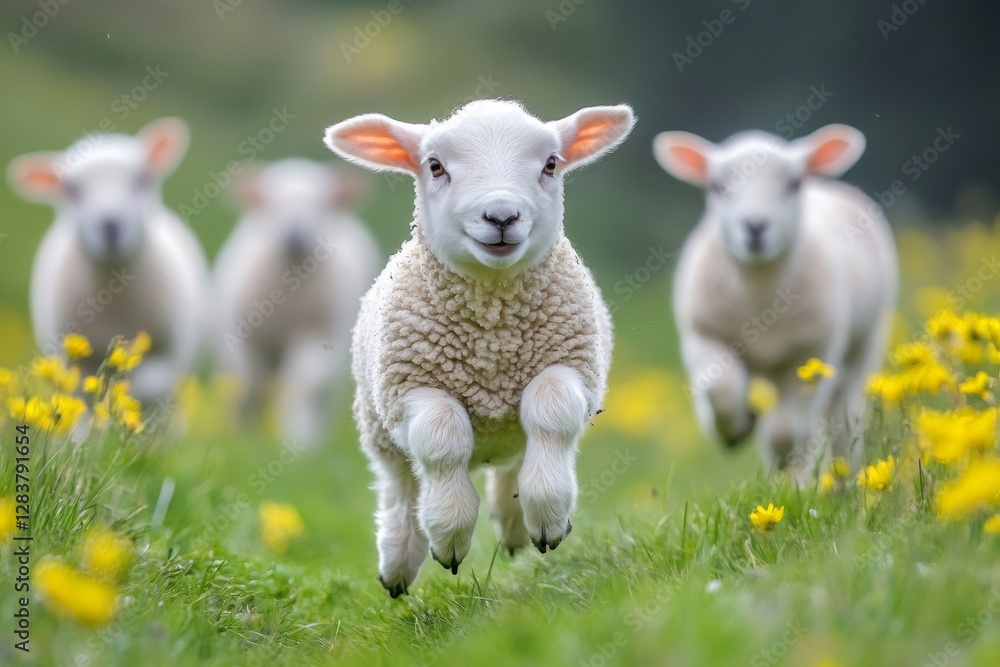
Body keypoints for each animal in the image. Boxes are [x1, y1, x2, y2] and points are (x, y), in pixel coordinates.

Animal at [8, 117, 208, 412]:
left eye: (142, 179)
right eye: (71, 190)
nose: (110, 223)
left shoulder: (168, 353)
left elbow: (148, 385)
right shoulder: (77, 361)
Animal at [211, 158, 381, 446]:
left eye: (324, 204)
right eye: (270, 204)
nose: (294, 233)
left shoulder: (316, 331)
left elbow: (306, 382)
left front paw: (301, 437)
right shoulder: (244, 339)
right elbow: (249, 383)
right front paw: (239, 436)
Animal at [324, 99, 634, 597]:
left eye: (551, 164)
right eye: (435, 166)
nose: (502, 217)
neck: (493, 334)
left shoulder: (571, 365)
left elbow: (551, 410)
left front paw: (547, 518)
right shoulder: (412, 388)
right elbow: (442, 436)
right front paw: (448, 537)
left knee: (515, 461)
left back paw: (517, 526)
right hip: (378, 427)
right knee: (401, 487)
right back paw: (398, 563)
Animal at [653, 124, 898, 483]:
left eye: (793, 184)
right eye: (717, 186)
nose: (755, 226)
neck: (760, 295)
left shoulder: (812, 350)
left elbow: (785, 431)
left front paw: (786, 472)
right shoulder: (704, 333)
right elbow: (721, 389)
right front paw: (732, 430)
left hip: (863, 343)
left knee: (840, 422)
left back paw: (837, 481)